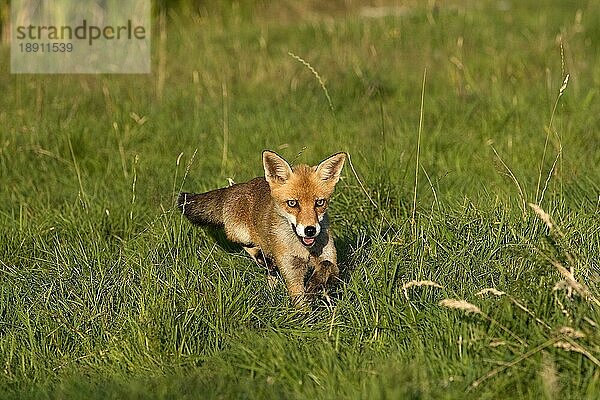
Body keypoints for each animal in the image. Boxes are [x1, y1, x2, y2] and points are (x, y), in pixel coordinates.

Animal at [178, 150, 344, 306]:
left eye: (319, 202)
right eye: (292, 203)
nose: (310, 230)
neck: (304, 250)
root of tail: (239, 185)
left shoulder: (333, 264)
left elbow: (327, 265)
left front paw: (316, 284)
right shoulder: (291, 271)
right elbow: (300, 301)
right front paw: (305, 314)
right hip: (241, 233)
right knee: (246, 245)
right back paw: (263, 259)